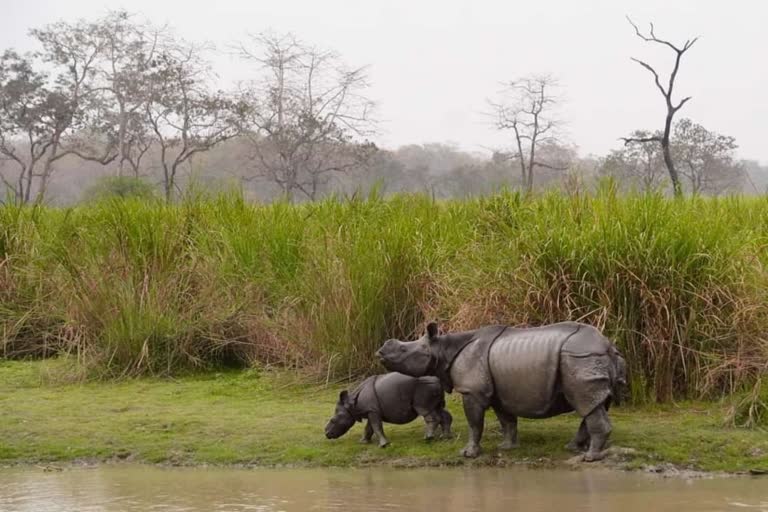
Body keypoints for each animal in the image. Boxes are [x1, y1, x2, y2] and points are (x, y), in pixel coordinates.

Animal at [322, 370, 452, 446]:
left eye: (333, 420)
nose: (327, 434)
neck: (352, 404)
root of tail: (438, 379)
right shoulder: (371, 410)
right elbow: (369, 427)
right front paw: (363, 442)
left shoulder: (372, 411)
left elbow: (376, 426)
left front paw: (383, 445)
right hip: (431, 386)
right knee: (440, 410)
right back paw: (445, 438)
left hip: (424, 387)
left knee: (426, 411)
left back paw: (427, 438)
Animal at [376, 320, 628, 460]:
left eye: (403, 350)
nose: (380, 352)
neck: (443, 349)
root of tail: (607, 345)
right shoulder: (499, 393)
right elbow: (506, 420)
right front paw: (506, 447)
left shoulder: (471, 391)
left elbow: (474, 423)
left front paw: (468, 454)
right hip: (587, 360)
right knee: (593, 403)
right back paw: (573, 448)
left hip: (579, 358)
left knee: (585, 402)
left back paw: (589, 458)